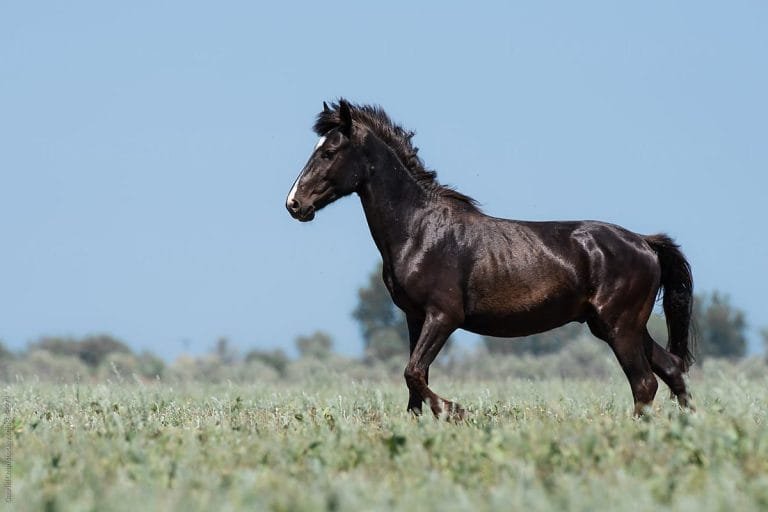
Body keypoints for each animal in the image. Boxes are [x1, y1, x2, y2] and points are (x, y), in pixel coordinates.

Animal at [286, 99, 695, 418]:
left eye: (328, 152)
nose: (294, 204)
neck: (420, 230)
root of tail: (644, 243)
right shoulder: (415, 317)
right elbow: (415, 384)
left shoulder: (444, 316)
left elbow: (413, 373)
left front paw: (455, 411)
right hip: (623, 326)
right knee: (671, 371)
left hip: (619, 327)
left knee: (644, 384)